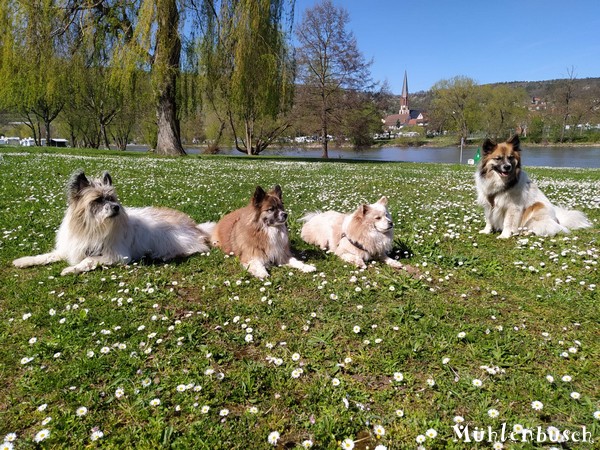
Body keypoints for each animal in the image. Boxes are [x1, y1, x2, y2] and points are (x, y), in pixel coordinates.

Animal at [12, 169, 216, 274]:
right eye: (98, 200)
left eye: (112, 199)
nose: (116, 208)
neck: (92, 227)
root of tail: (196, 227)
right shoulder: (69, 249)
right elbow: (46, 256)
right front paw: (25, 261)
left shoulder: (116, 256)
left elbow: (88, 259)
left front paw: (71, 269)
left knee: (195, 248)